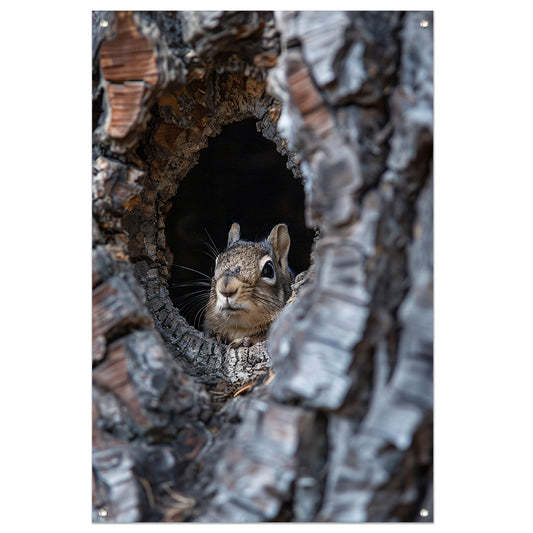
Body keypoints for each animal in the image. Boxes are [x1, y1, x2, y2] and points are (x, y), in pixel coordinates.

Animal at [205, 221, 296, 350]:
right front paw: (217, 336)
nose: (226, 289)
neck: (238, 326)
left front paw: (244, 340)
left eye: (268, 270)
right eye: (216, 263)